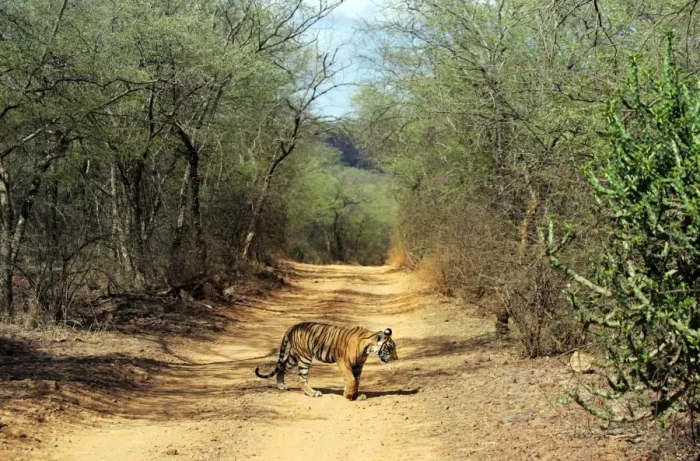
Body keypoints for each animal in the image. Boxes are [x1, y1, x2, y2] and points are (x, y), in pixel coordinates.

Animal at [254, 322, 398, 401]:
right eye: (390, 347)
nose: (396, 358)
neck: (367, 349)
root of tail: (293, 327)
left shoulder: (358, 365)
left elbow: (356, 381)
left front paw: (355, 396)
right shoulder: (343, 361)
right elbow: (351, 379)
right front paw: (348, 396)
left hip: (294, 356)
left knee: (282, 366)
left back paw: (281, 386)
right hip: (305, 357)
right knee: (301, 378)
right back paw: (312, 393)